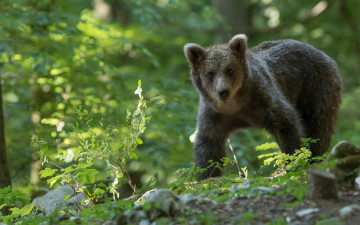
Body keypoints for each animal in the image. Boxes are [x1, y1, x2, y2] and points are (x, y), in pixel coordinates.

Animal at [184, 33, 342, 179]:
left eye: (229, 69)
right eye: (210, 73)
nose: (223, 91)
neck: (236, 105)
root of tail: (322, 53)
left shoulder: (263, 98)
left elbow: (286, 123)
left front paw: (295, 161)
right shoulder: (215, 113)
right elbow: (209, 143)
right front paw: (206, 174)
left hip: (315, 86)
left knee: (318, 125)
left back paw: (317, 156)